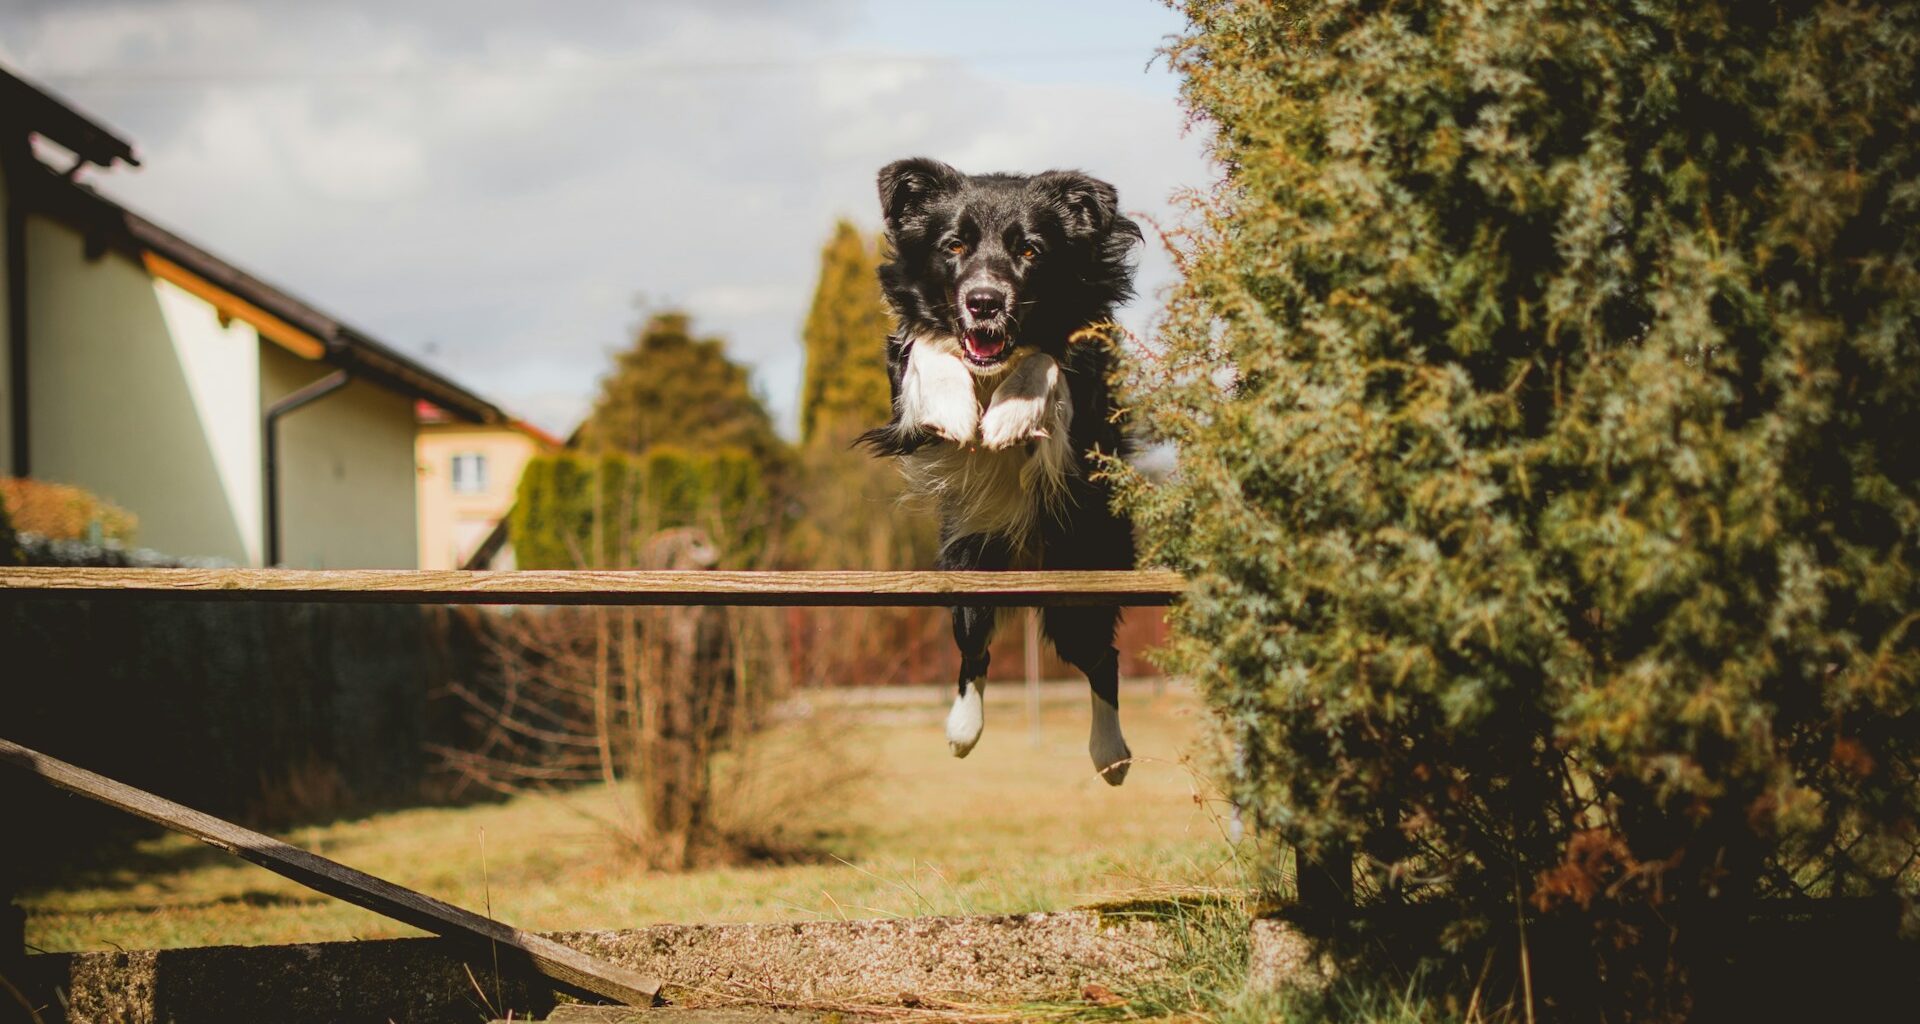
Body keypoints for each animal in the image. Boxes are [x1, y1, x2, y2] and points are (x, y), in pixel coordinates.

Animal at [856, 157, 1136, 783]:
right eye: (953, 245)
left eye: (1030, 250)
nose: (984, 302)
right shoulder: (900, 390)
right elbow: (926, 350)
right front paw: (957, 408)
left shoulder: (1089, 403)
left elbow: (1048, 360)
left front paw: (1011, 413)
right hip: (969, 563)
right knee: (973, 646)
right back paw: (963, 731)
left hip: (1084, 572)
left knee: (1101, 658)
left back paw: (1111, 755)